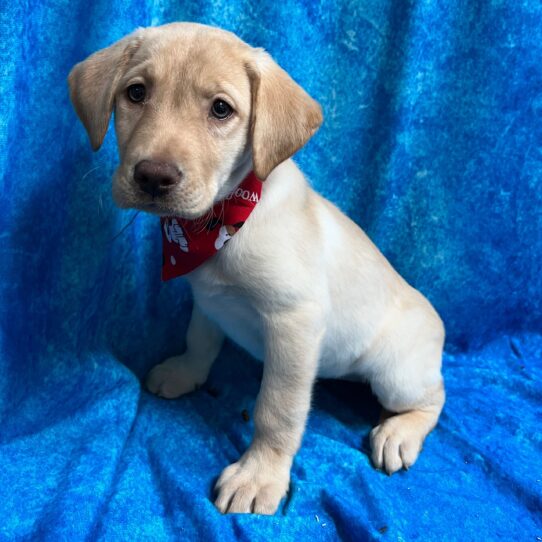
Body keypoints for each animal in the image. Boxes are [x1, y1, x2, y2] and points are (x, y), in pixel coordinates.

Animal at [70, 23, 448, 520]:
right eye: (136, 93)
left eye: (220, 109)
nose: (153, 176)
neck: (222, 221)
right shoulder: (208, 302)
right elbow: (199, 341)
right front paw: (184, 373)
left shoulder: (294, 323)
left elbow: (277, 410)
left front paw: (260, 475)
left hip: (396, 375)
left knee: (435, 396)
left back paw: (399, 432)